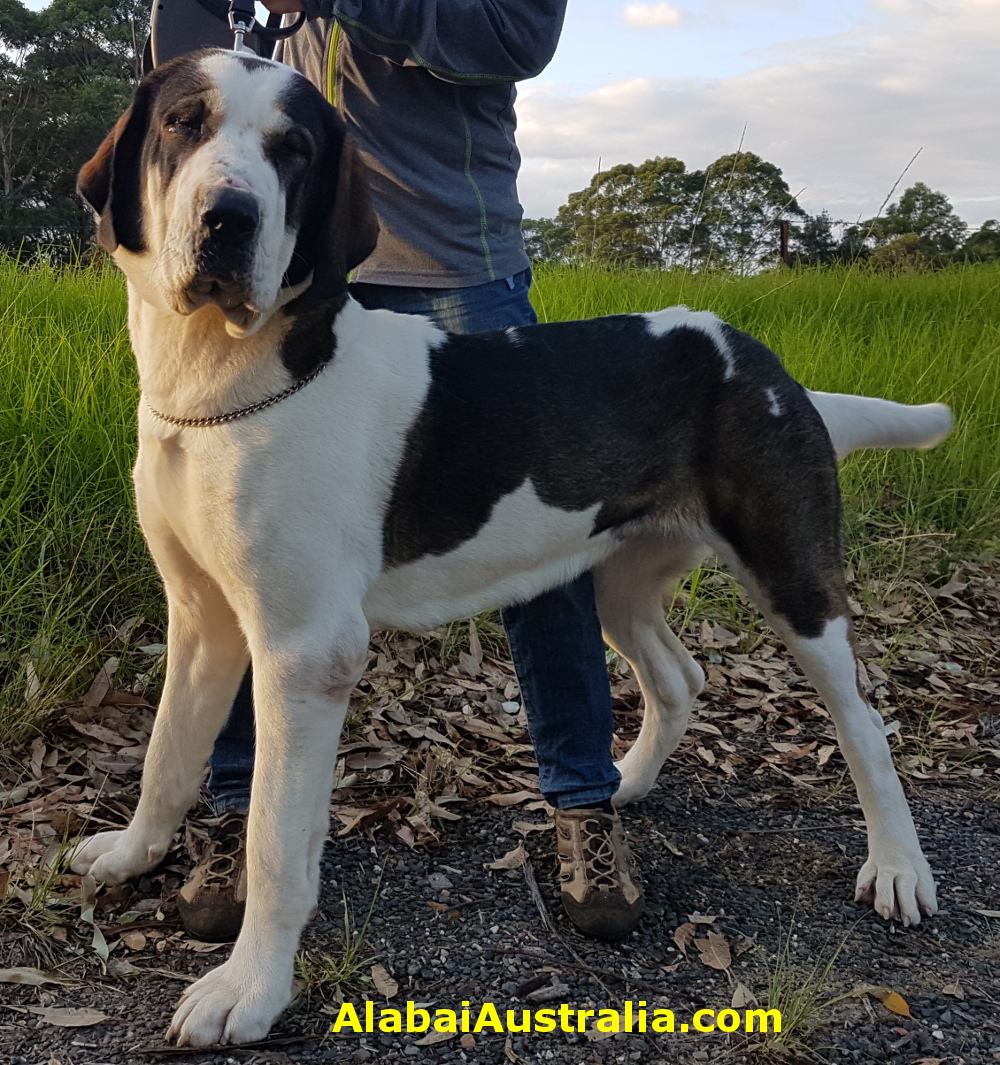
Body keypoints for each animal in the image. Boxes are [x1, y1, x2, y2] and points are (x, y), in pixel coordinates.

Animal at [74, 51, 949, 1047]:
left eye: (292, 150)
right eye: (183, 123)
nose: (229, 217)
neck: (223, 380)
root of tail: (764, 361)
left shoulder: (304, 651)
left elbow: (272, 843)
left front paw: (249, 989)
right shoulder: (203, 621)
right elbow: (167, 756)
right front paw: (133, 853)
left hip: (790, 574)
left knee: (862, 721)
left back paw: (898, 866)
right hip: (619, 576)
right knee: (679, 675)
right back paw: (625, 783)